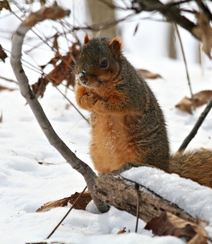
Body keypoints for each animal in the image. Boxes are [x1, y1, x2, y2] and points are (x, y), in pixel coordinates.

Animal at [75, 33, 212, 188]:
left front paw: (99, 104)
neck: (100, 87)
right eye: (80, 56)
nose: (83, 77)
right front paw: (88, 100)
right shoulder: (80, 87)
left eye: (104, 63)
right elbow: (79, 99)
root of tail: (166, 167)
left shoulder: (132, 93)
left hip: (143, 154)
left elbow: (119, 106)